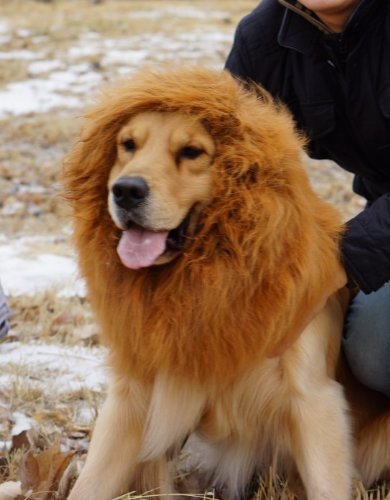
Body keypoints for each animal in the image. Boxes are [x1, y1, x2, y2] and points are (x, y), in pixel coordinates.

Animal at [65, 67, 388, 500]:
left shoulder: (314, 399)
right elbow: (89, 484)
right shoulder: (133, 392)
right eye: (127, 145)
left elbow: (327, 487)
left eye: (192, 152)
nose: (126, 191)